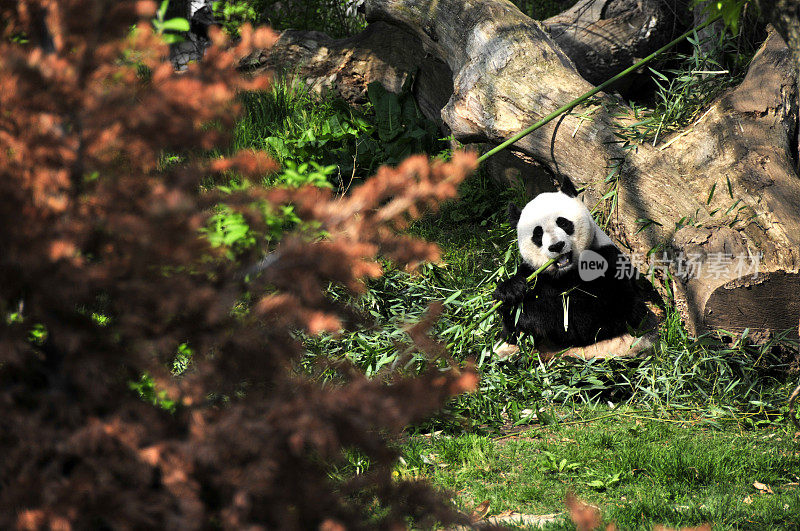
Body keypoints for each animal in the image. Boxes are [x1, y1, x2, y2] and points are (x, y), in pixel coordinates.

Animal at [490, 181, 652, 356]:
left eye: (563, 223)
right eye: (538, 234)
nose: (557, 246)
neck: (565, 273)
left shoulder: (608, 261)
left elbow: (592, 316)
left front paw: (530, 315)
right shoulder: (535, 273)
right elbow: (512, 330)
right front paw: (510, 292)